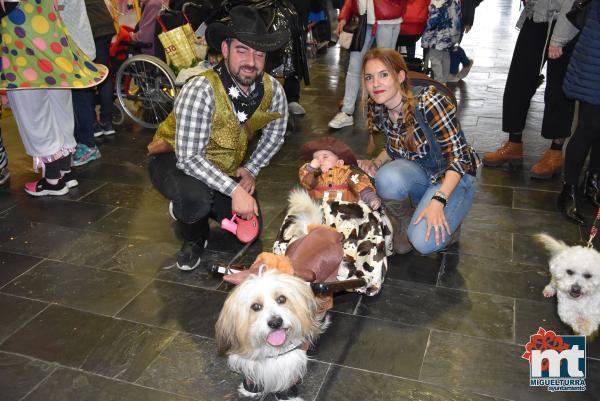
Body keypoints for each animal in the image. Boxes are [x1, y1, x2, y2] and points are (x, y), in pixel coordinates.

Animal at [216, 268, 328, 398]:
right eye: (256, 306)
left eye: (282, 299)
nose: (275, 323)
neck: (272, 350)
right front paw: (250, 390)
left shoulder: (288, 367)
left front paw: (288, 396)